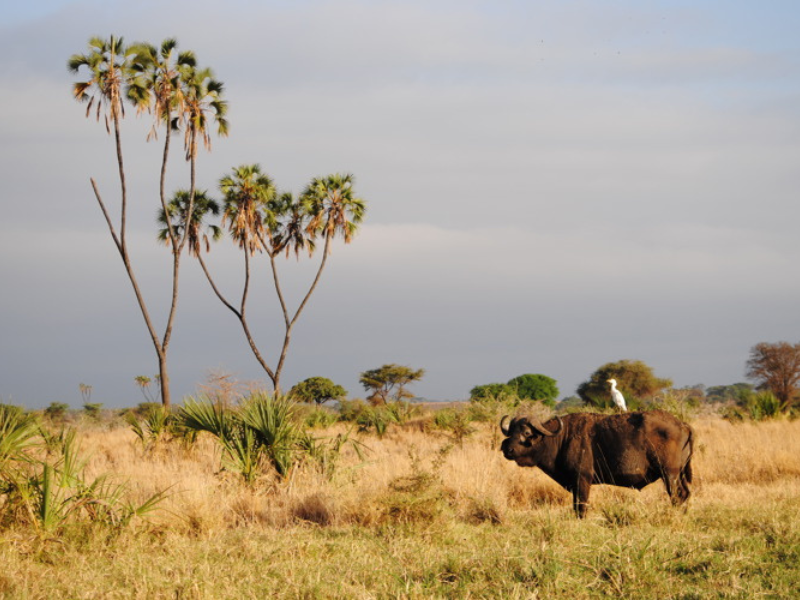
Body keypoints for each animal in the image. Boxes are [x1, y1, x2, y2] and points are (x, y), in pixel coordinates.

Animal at [500, 410, 694, 517]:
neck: (561, 438)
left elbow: (580, 507)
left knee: (677, 496)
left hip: (670, 474)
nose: (507, 448)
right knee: (685, 494)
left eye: (526, 432)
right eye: (510, 431)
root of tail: (682, 424)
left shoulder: (582, 481)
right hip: (679, 475)